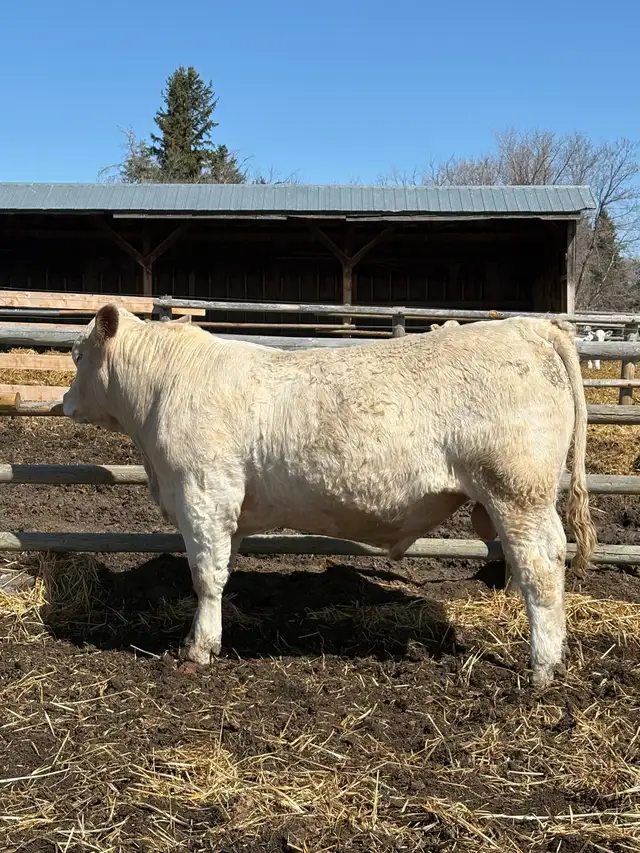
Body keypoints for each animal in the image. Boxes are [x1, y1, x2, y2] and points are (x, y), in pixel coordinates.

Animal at [63, 305, 597, 686]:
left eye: (76, 355)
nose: (64, 401)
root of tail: (530, 326)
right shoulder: (228, 508)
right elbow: (223, 567)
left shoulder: (202, 493)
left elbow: (205, 576)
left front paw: (198, 648)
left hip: (518, 491)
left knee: (540, 567)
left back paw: (543, 666)